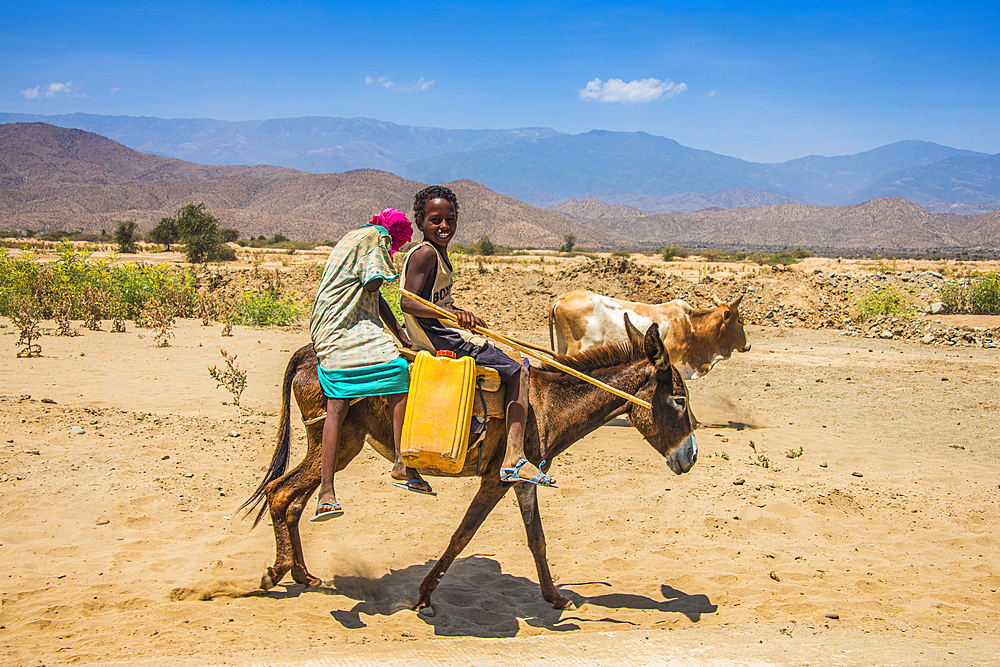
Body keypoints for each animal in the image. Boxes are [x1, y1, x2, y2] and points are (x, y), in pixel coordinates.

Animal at [548, 288, 752, 378]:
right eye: (740, 320)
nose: (747, 345)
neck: (689, 324)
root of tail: (563, 298)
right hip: (581, 347)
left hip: (563, 344)